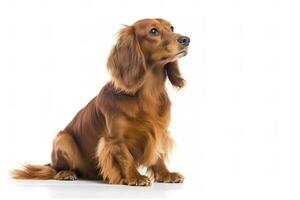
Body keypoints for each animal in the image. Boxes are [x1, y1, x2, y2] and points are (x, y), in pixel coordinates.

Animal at [12, 18, 190, 186]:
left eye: (171, 28)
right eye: (153, 31)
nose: (186, 39)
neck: (148, 93)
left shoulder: (159, 131)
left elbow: (158, 156)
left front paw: (166, 174)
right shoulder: (114, 139)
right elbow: (126, 158)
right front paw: (135, 177)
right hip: (63, 139)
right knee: (55, 169)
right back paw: (65, 173)